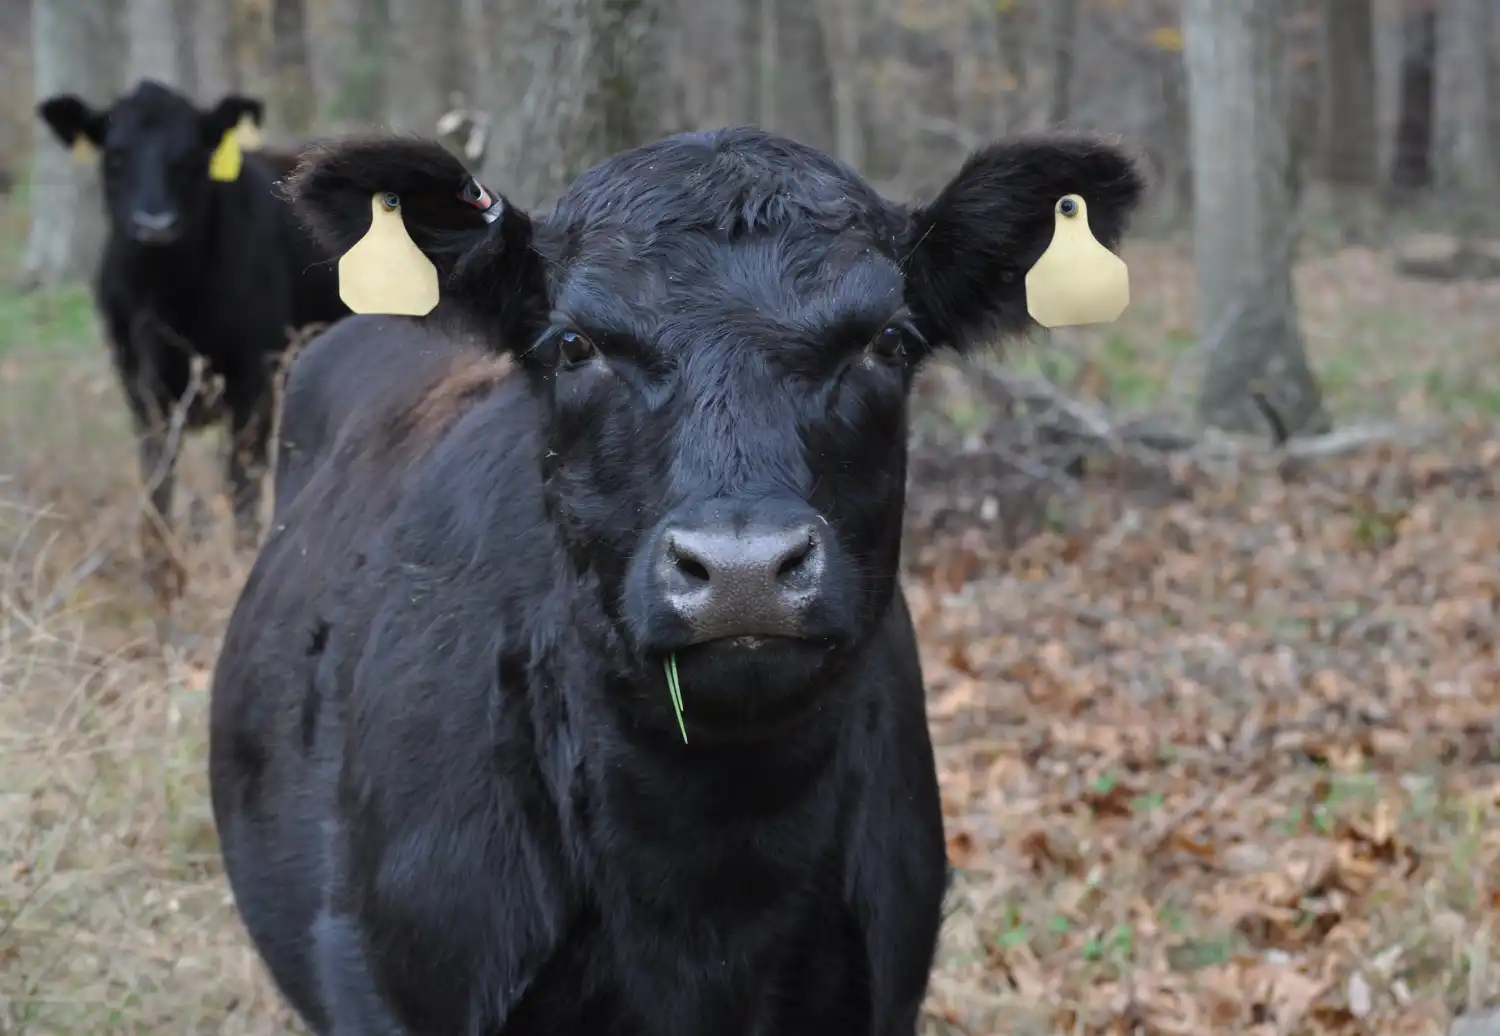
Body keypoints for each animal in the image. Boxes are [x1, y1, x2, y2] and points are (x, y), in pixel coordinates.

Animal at [35, 78, 350, 607]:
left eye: (190, 159)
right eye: (115, 156)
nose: (155, 225)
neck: (168, 297)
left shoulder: (254, 380)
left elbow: (242, 484)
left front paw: (242, 565)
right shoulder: (141, 386)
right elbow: (157, 480)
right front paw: (161, 582)